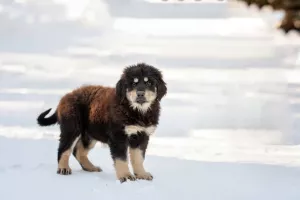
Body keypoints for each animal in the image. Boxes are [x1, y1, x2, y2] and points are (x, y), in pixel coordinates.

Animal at [37, 63, 166, 183]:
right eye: (133, 83)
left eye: (149, 83)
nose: (140, 93)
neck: (137, 110)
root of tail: (64, 98)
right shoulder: (118, 136)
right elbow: (121, 158)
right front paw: (126, 176)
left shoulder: (141, 135)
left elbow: (138, 158)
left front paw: (142, 174)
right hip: (72, 127)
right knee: (64, 148)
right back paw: (63, 168)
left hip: (90, 133)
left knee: (78, 151)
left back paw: (90, 167)